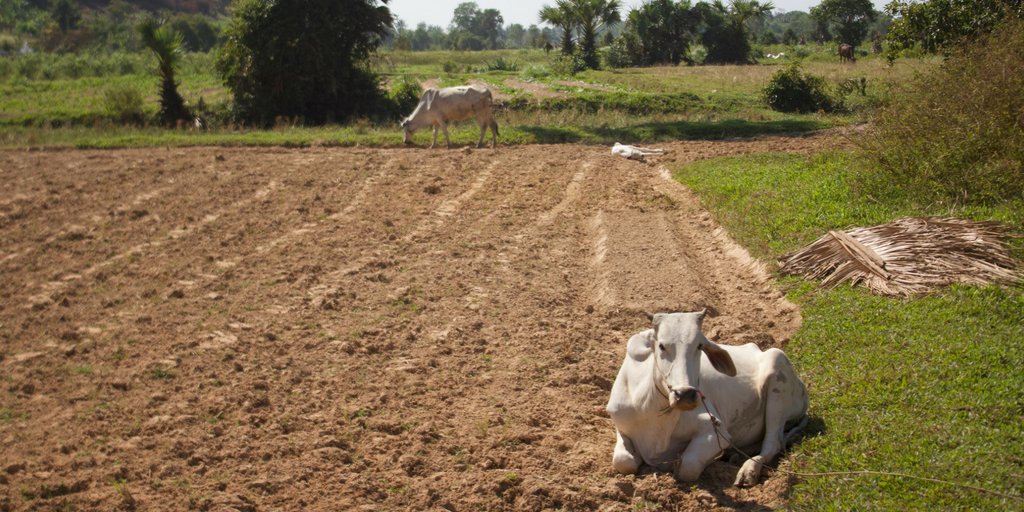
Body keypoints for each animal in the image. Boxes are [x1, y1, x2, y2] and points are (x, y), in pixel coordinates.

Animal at [606, 309, 806, 485]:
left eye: (699, 346)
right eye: (661, 346)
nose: (685, 395)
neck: (656, 411)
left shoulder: (715, 430)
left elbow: (688, 467)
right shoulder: (620, 424)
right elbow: (623, 462)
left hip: (777, 374)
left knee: (773, 444)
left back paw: (748, 470)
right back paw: (734, 456)